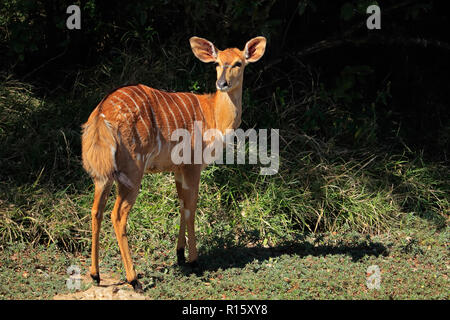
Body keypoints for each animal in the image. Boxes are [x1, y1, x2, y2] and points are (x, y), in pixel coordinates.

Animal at [82, 36, 268, 292]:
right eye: (217, 63)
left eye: (238, 63)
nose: (222, 83)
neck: (213, 115)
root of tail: (101, 115)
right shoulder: (192, 165)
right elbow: (191, 207)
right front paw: (194, 261)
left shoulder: (178, 169)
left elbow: (181, 205)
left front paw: (180, 255)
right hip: (133, 171)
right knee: (118, 215)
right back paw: (134, 280)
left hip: (103, 175)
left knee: (96, 211)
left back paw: (95, 275)